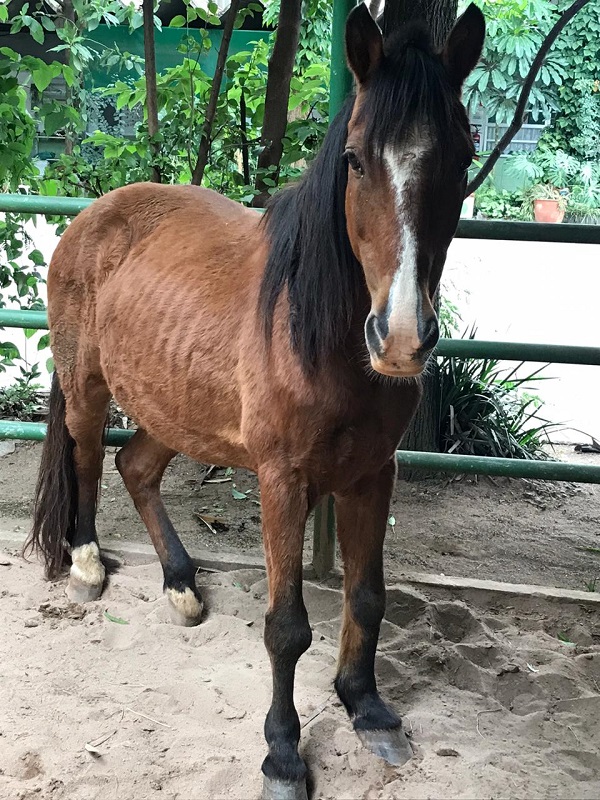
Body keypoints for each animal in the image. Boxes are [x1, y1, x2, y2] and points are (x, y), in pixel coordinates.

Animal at [25, 6, 482, 800]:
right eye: (355, 159)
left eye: (461, 158)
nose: (399, 338)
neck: (322, 335)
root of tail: (94, 215)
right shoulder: (282, 480)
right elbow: (287, 627)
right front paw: (283, 754)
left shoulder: (374, 472)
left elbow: (368, 596)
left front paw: (367, 708)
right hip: (87, 386)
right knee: (85, 457)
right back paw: (84, 563)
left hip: (175, 407)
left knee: (135, 467)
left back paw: (181, 583)